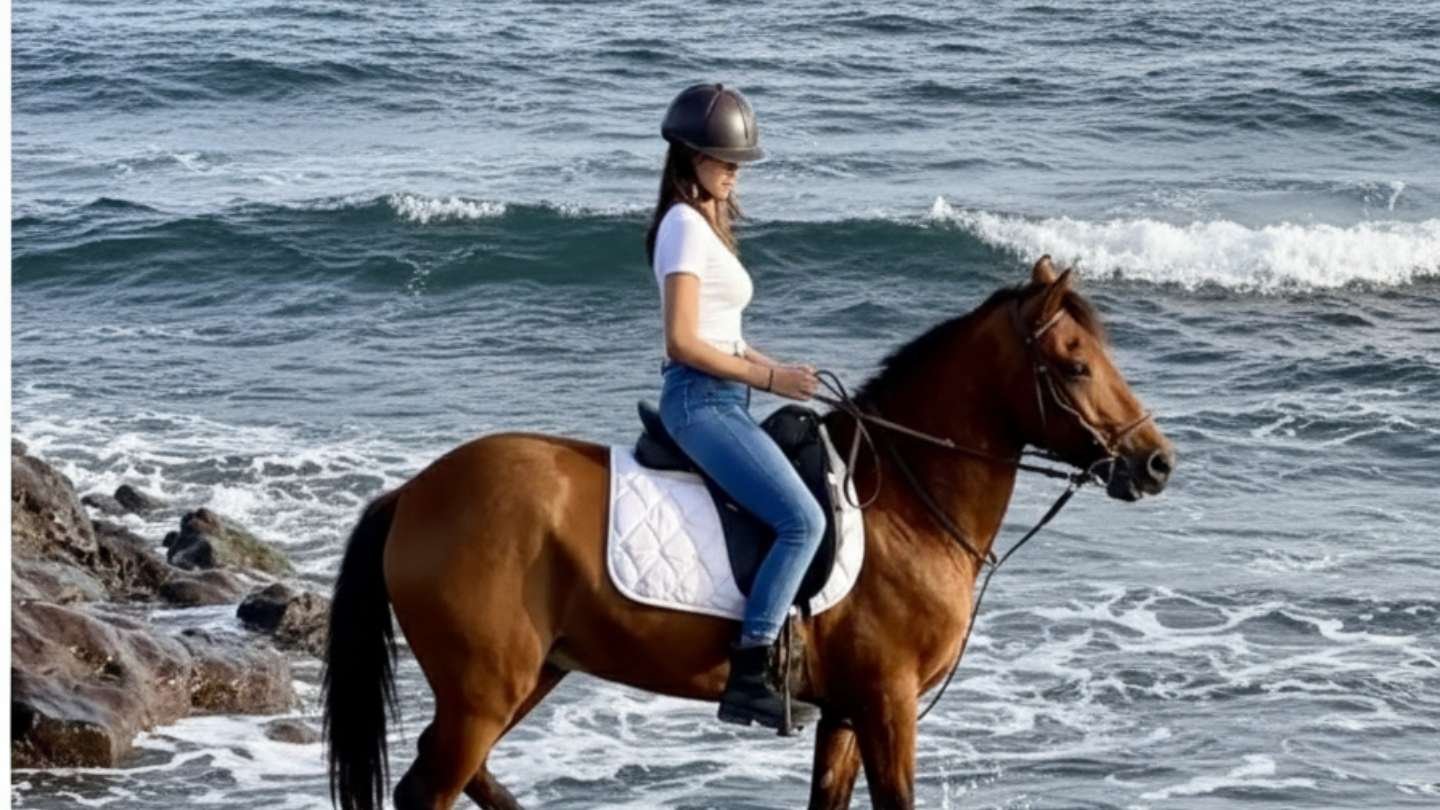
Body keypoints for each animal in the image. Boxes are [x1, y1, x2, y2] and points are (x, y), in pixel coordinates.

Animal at [322, 256, 1176, 810]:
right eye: (1075, 365)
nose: (1156, 462)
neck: (906, 503)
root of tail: (413, 493)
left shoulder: (844, 713)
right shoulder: (888, 704)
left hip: (531, 674)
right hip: (484, 689)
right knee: (434, 787)